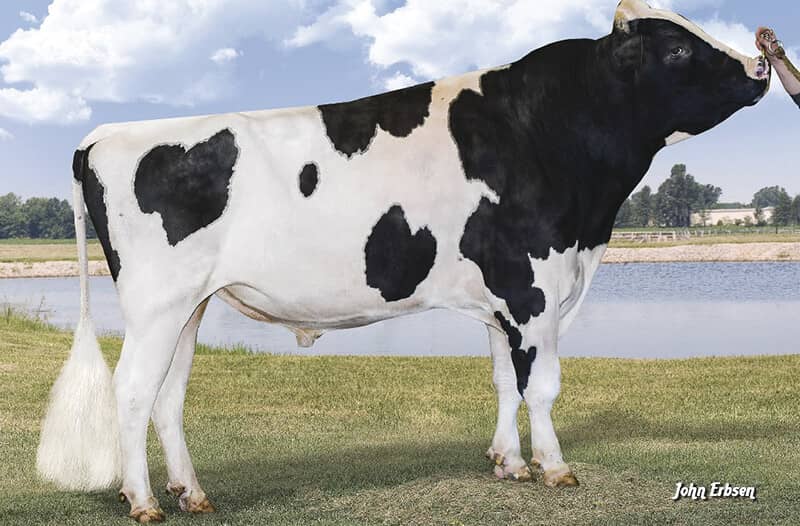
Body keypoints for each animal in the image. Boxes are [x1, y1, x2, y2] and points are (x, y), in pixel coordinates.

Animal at [36, 0, 770, 522]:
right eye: (678, 47)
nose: (763, 66)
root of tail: (103, 135)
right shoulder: (534, 285)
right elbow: (542, 386)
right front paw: (555, 469)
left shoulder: (501, 296)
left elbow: (505, 382)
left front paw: (509, 464)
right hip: (155, 302)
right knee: (133, 390)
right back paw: (144, 502)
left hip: (190, 305)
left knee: (168, 396)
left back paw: (192, 493)